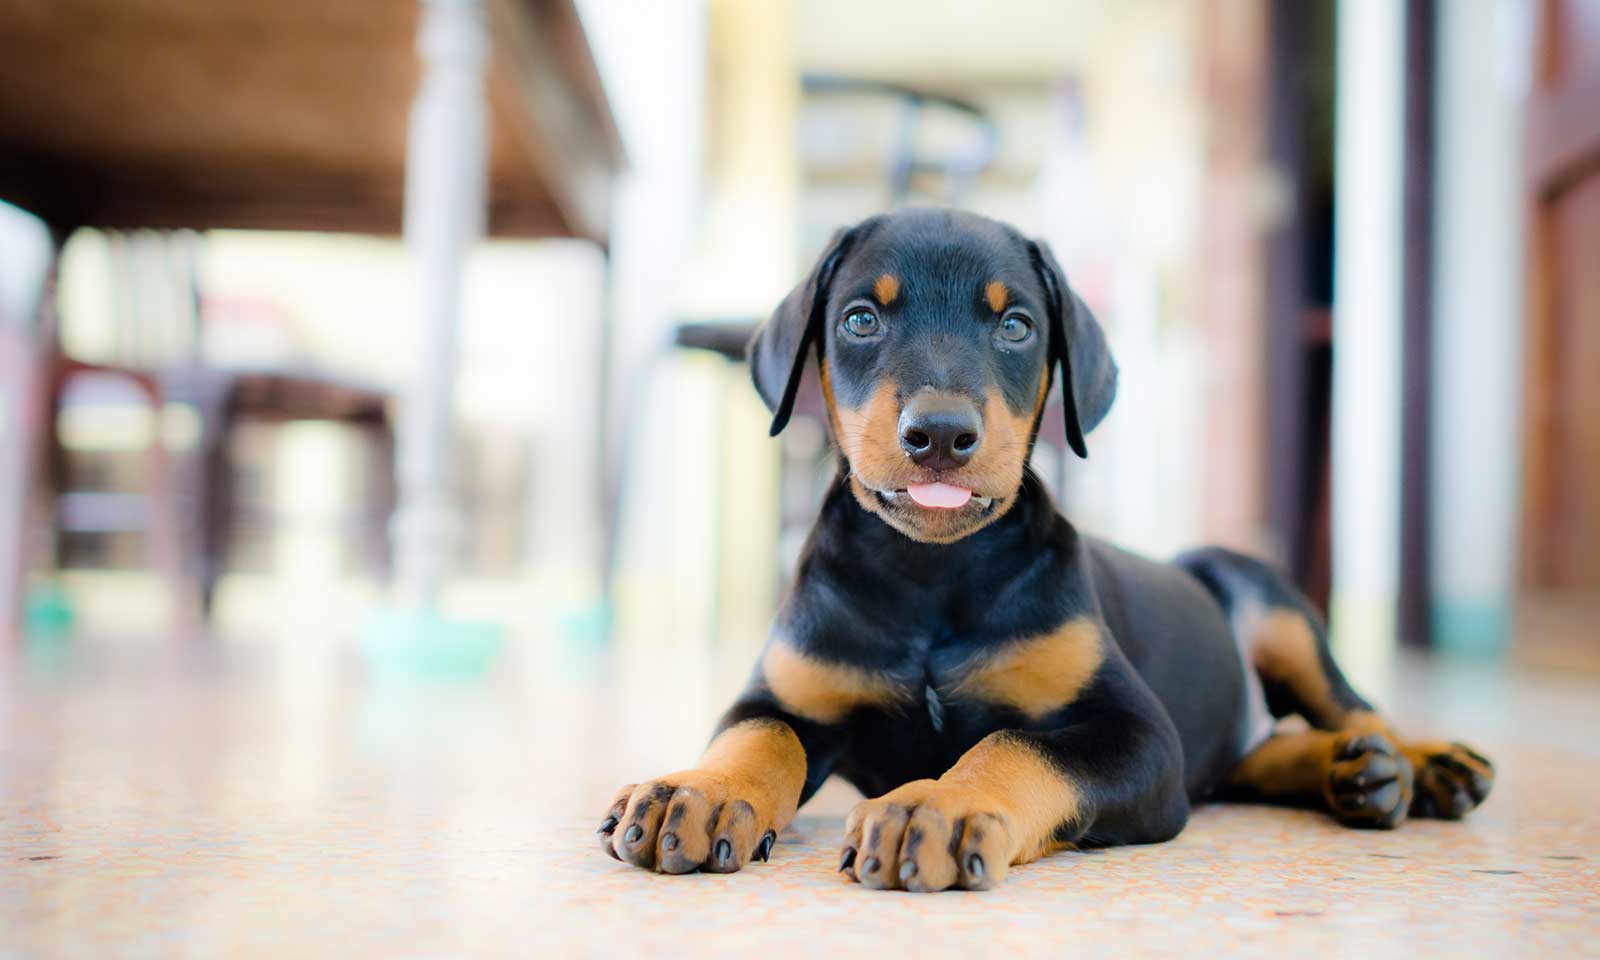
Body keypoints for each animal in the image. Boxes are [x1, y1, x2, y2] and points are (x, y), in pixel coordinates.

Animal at [595, 208, 1491, 889]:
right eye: (860, 318)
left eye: (1017, 325)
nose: (941, 434)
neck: (932, 574)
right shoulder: (792, 690)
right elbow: (758, 736)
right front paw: (699, 791)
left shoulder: (1138, 734)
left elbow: (1015, 743)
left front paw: (940, 807)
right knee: (1252, 755)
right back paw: (1354, 772)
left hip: (1271, 606)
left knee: (1352, 703)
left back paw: (1416, 762)